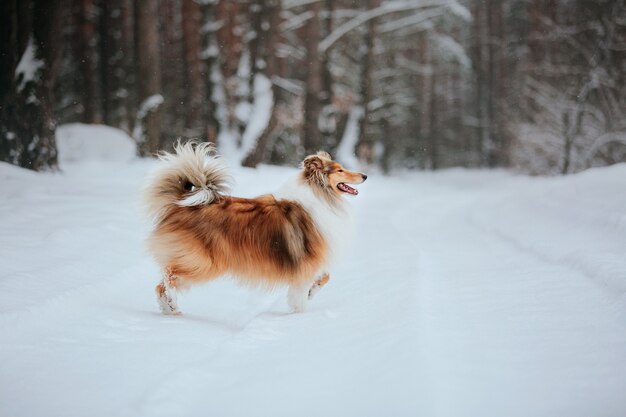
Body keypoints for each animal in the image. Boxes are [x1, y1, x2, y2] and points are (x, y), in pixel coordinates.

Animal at [143, 141, 366, 314]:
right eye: (340, 170)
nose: (364, 175)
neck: (321, 196)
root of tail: (181, 203)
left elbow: (325, 276)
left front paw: (312, 292)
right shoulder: (307, 265)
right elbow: (302, 294)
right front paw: (300, 315)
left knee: (159, 286)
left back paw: (170, 308)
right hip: (204, 262)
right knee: (169, 275)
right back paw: (171, 301)